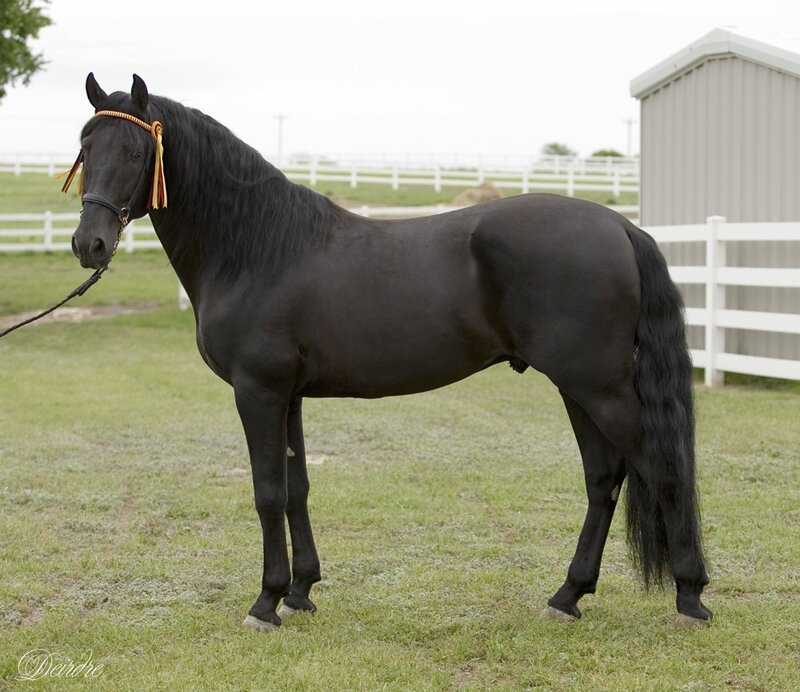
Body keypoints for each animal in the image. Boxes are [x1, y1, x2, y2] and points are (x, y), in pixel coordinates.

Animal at [68, 73, 711, 630]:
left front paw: (266, 601)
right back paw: (568, 594)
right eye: (85, 144)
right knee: (604, 478)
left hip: (597, 386)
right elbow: (297, 488)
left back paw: (690, 593)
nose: (88, 243)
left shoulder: (259, 392)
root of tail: (621, 228)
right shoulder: (289, 396)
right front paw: (301, 590)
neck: (257, 248)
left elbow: (267, 492)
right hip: (579, 386)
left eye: (135, 152)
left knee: (659, 466)